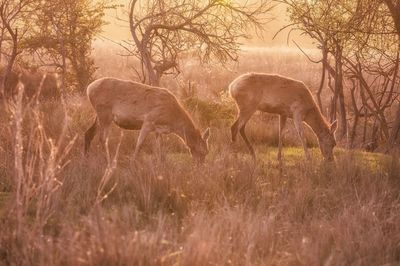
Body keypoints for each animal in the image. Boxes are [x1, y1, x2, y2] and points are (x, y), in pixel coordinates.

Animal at [83, 77, 211, 162]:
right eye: (202, 151)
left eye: (207, 152)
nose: (200, 166)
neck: (172, 121)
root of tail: (89, 89)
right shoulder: (149, 120)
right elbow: (139, 143)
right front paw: (133, 161)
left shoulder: (158, 129)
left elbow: (159, 148)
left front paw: (160, 163)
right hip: (105, 112)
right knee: (103, 138)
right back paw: (107, 160)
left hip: (99, 114)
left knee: (89, 133)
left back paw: (86, 157)